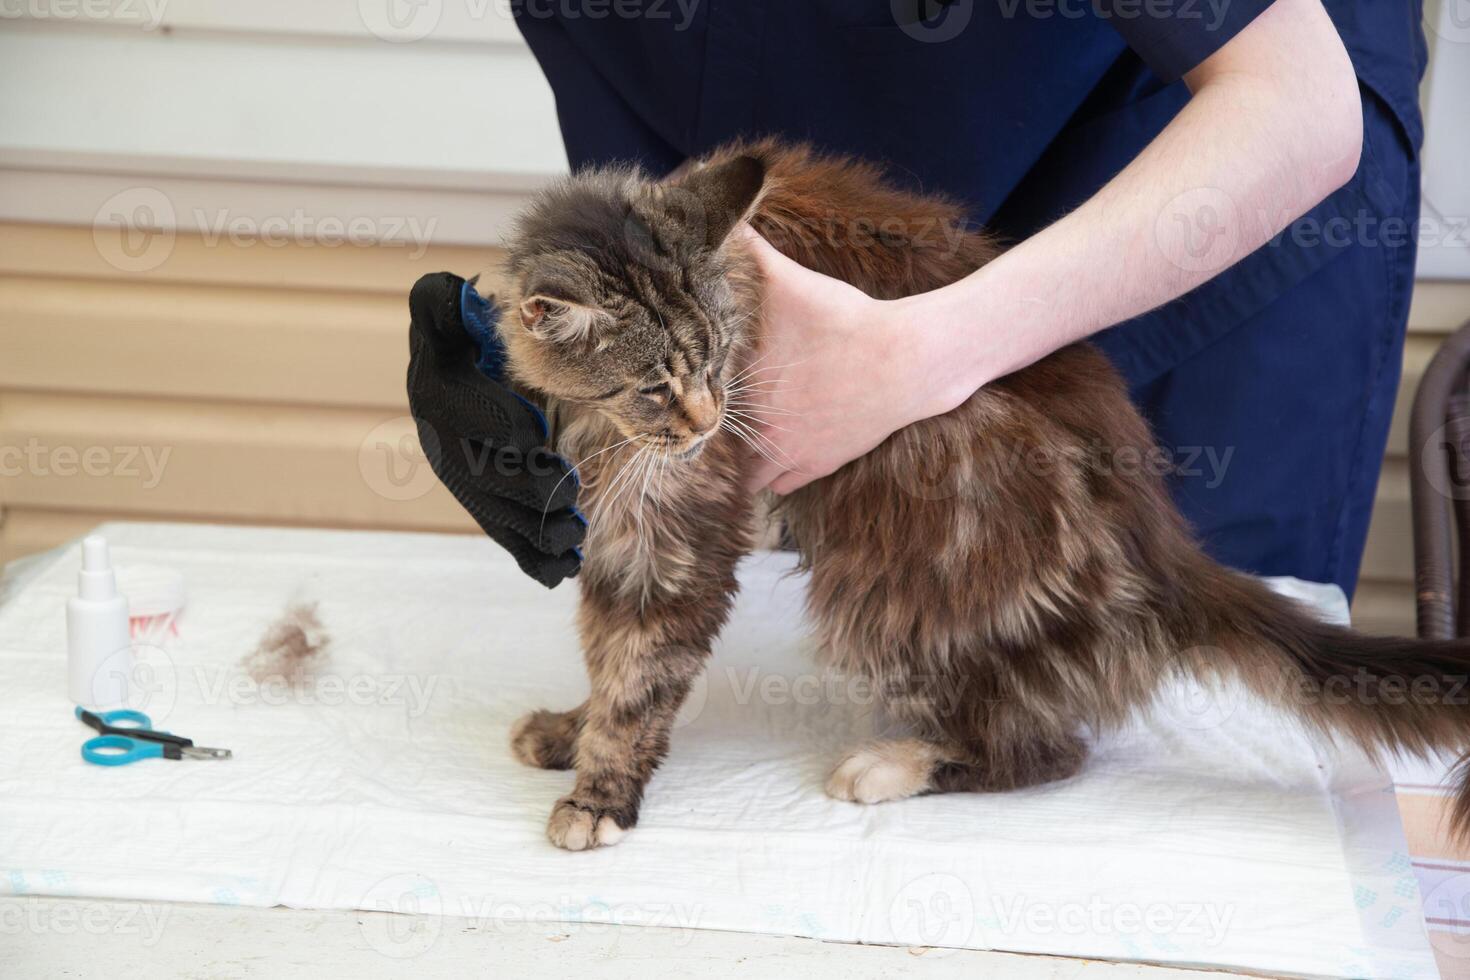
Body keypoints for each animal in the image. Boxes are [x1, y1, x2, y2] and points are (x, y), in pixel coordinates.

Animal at [493, 138, 1470, 852]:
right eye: (654, 385)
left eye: (722, 358)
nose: (706, 419)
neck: (599, 434)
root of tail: (1160, 549)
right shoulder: (616, 538)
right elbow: (607, 660)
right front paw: (573, 732)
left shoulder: (676, 540)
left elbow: (640, 676)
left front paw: (602, 794)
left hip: (889, 567)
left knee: (1048, 750)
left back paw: (892, 765)